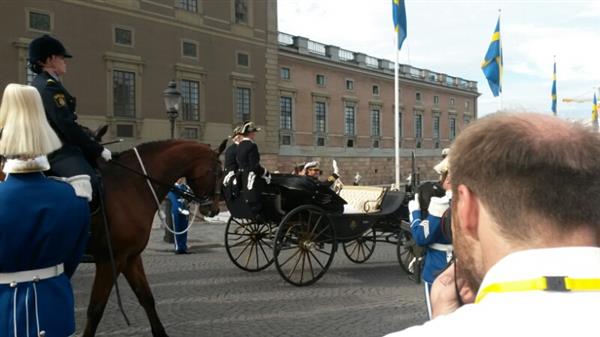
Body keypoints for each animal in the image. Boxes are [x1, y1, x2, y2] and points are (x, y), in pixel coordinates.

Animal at [82, 138, 225, 334]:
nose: (214, 209)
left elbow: (146, 298)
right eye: (219, 172)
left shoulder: (130, 257)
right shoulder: (109, 260)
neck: (129, 184)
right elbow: (95, 310)